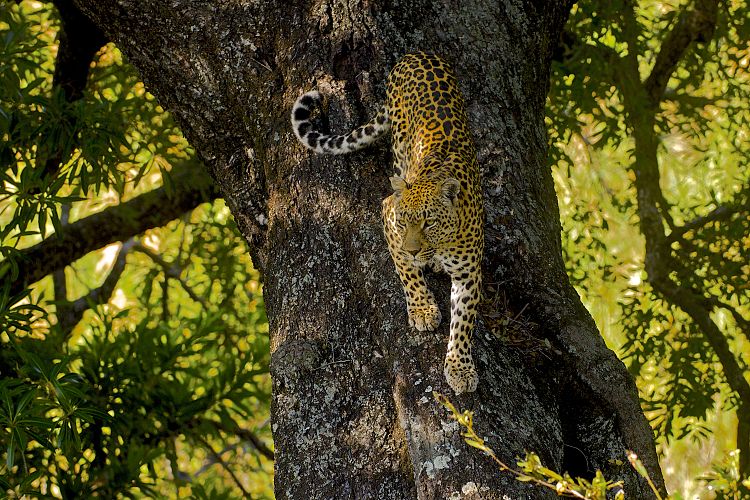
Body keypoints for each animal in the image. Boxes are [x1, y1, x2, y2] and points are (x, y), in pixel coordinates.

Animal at [290, 51, 484, 394]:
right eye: (405, 222)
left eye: (429, 222)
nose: (414, 250)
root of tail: (416, 54)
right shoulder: (389, 216)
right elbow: (406, 271)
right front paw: (422, 309)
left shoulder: (468, 272)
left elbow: (462, 324)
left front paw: (460, 368)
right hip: (399, 146)